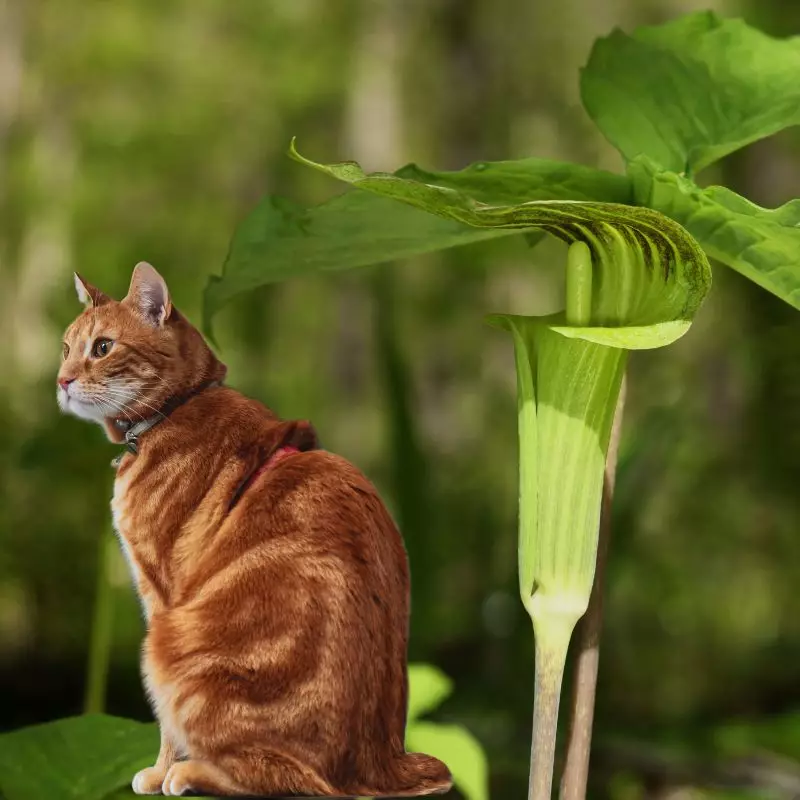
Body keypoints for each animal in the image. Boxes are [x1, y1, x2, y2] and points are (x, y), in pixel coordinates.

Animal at [57, 264, 450, 800]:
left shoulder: (161, 594)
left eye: (102, 347)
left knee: (288, 778)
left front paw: (160, 771)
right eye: (65, 347)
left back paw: (192, 773)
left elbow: (165, 724)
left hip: (168, 645)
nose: (62, 380)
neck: (176, 409)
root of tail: (381, 765)